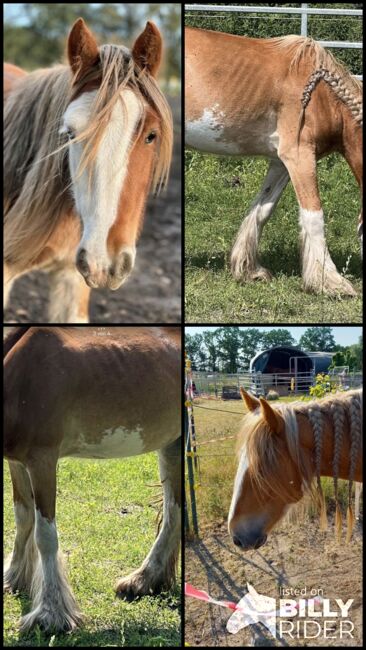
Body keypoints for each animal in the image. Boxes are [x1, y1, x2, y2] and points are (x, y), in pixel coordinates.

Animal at [2, 326, 180, 632]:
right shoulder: (17, 463)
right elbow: (23, 518)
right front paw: (13, 577)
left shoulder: (42, 460)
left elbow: (44, 535)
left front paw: (51, 615)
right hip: (172, 445)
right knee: (174, 510)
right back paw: (145, 581)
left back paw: (143, 579)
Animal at [186, 27, 364, 294]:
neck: (324, 94)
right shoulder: (300, 156)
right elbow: (314, 216)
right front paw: (331, 283)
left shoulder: (281, 163)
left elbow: (262, 209)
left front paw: (249, 270)